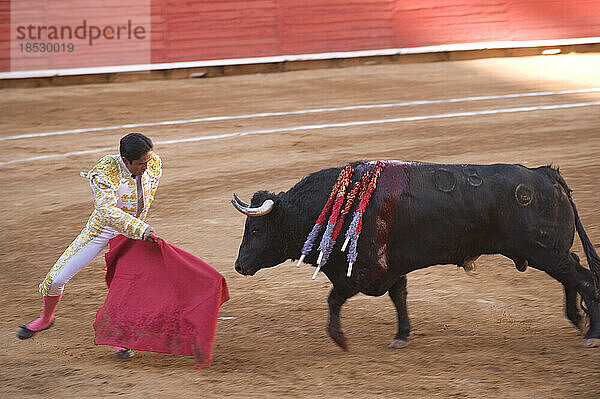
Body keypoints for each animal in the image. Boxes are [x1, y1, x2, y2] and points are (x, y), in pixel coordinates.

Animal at [232, 162, 600, 350]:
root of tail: (545, 173)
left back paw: (591, 335)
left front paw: (340, 339)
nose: (239, 266)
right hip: (547, 252)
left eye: (256, 230)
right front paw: (402, 335)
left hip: (544, 251)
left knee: (582, 278)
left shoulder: (363, 271)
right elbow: (400, 297)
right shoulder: (392, 269)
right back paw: (576, 319)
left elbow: (334, 299)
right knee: (573, 274)